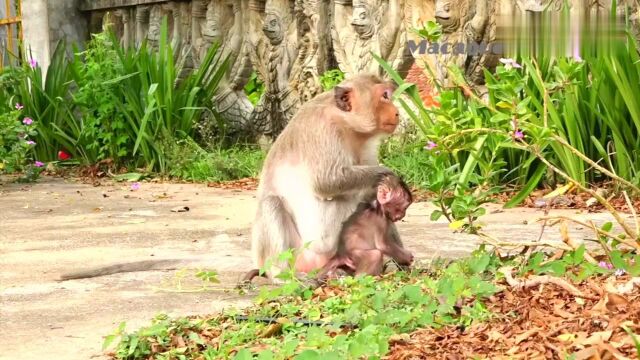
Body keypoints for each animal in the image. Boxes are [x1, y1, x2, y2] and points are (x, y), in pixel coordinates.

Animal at [242, 73, 402, 282]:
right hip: (297, 254)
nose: (397, 112)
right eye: (384, 96)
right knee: (271, 203)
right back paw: (281, 275)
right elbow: (326, 181)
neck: (347, 125)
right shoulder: (322, 130)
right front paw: (386, 174)